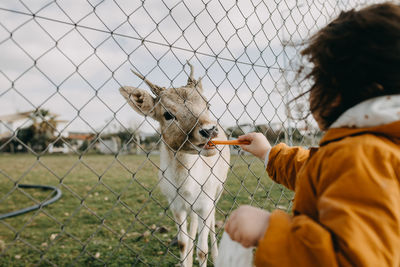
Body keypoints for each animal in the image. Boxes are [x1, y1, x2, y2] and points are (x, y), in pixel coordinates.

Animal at [119, 62, 230, 266]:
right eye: (168, 114)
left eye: (207, 103)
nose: (210, 130)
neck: (186, 187)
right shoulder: (175, 204)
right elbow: (183, 245)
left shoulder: (206, 201)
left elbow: (202, 250)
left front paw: (205, 255)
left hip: (219, 189)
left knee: (212, 222)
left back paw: (217, 256)